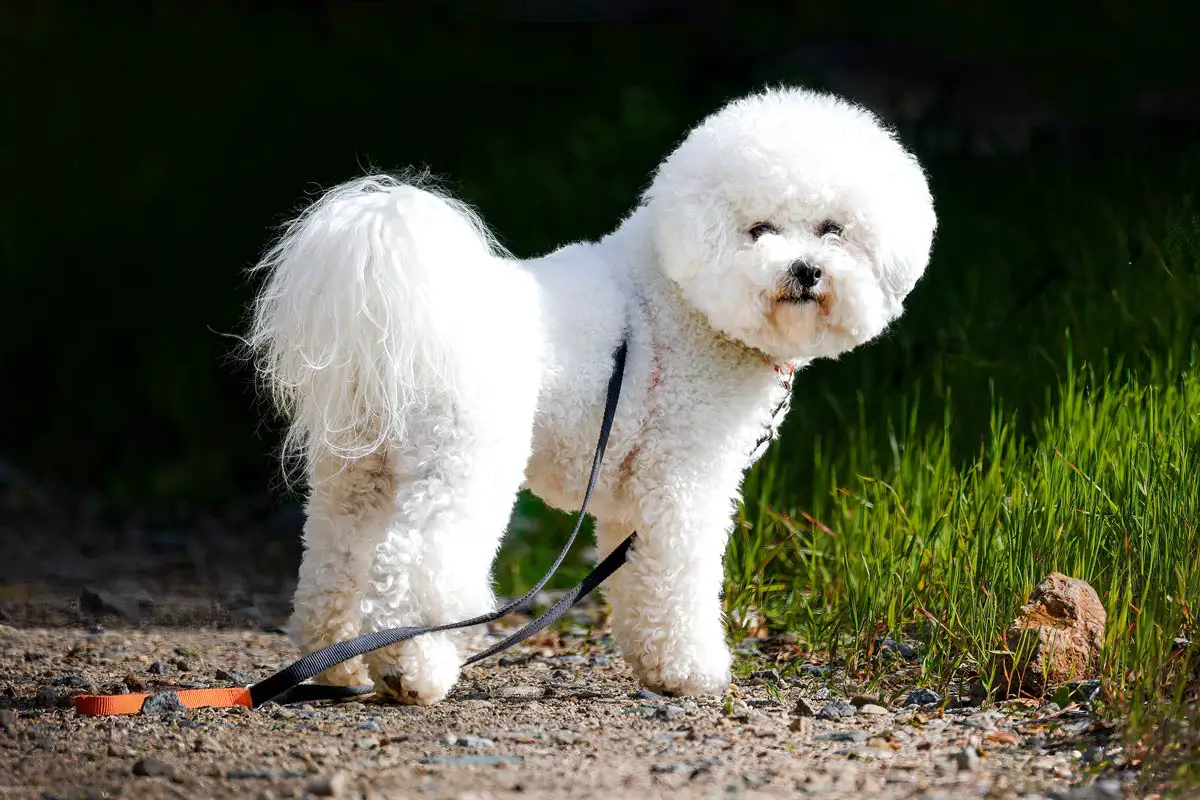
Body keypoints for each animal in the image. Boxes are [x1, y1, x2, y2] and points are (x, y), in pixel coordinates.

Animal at [246, 84, 936, 705]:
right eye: (759, 229)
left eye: (832, 230)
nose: (805, 270)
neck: (681, 299)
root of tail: (409, 316)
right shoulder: (683, 479)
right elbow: (680, 576)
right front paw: (693, 670)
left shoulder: (636, 498)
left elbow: (638, 580)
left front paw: (658, 666)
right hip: (463, 458)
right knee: (416, 564)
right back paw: (410, 672)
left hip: (357, 470)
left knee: (336, 561)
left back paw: (336, 664)